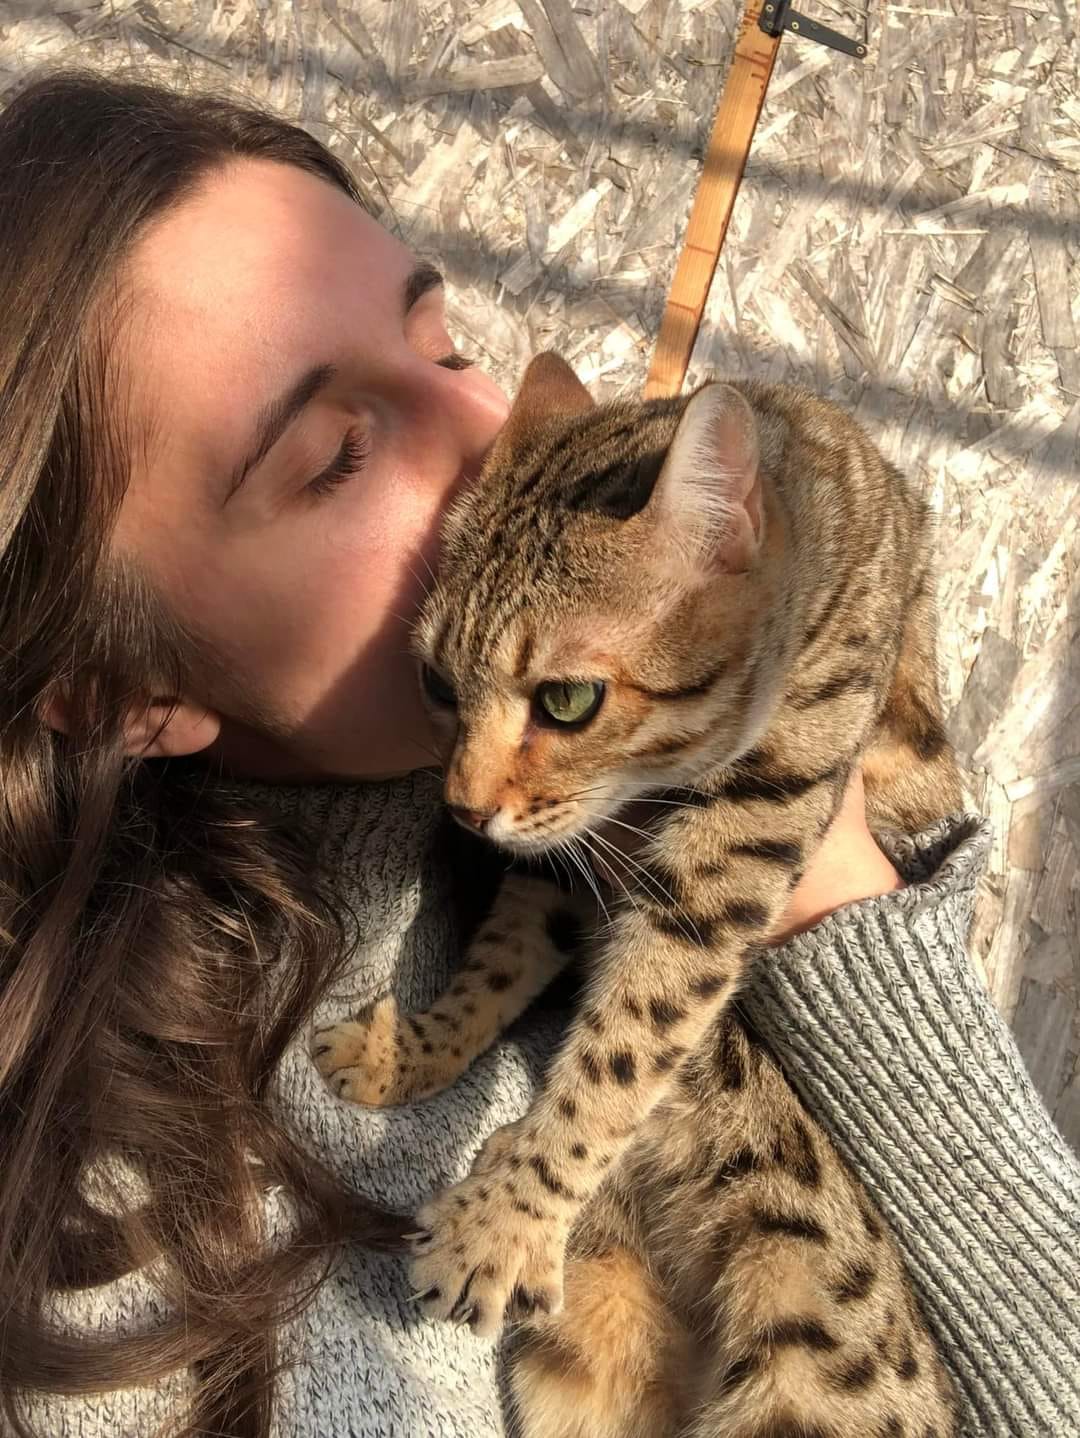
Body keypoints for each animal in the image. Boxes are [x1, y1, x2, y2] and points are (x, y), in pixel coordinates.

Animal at [315, 353, 963, 1437]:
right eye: (438, 685)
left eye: (568, 700)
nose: (462, 810)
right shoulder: (564, 864)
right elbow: (497, 967)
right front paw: (407, 1052)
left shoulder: (733, 850)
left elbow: (625, 1046)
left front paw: (502, 1225)